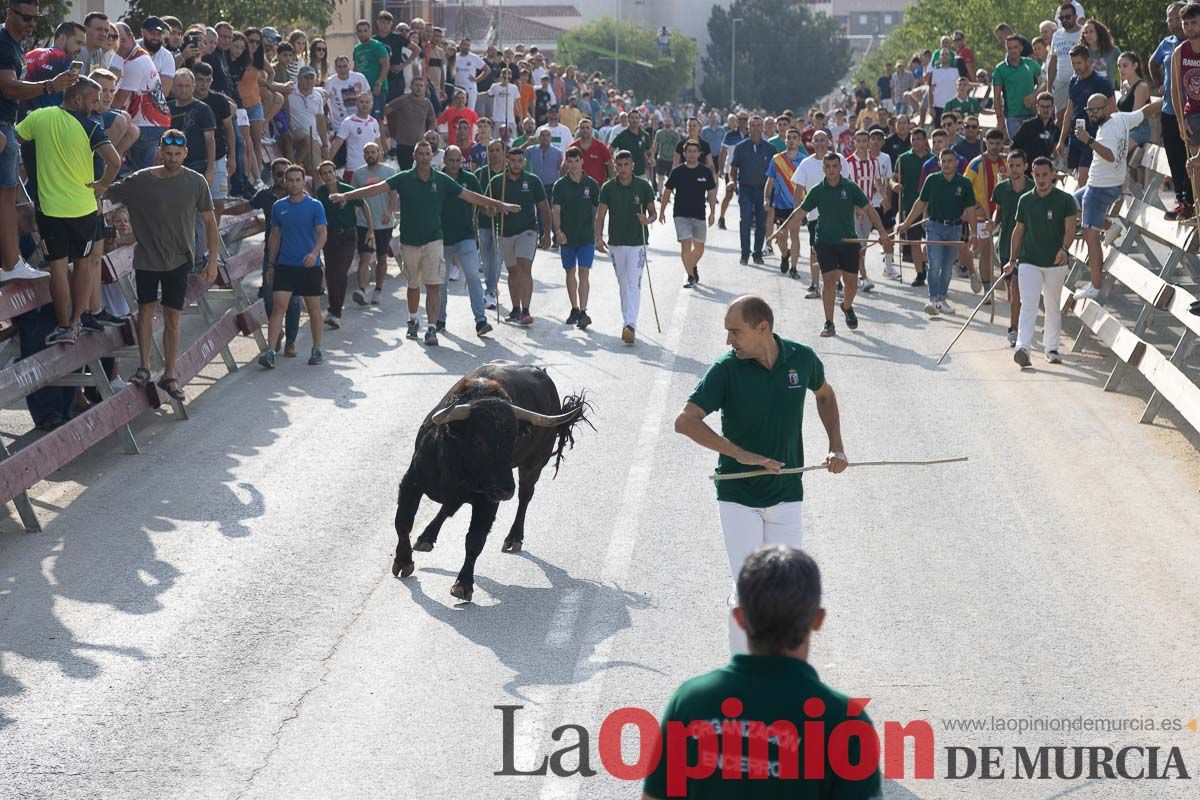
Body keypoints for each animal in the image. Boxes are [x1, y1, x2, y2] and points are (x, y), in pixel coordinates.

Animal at [393, 362, 590, 599]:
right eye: (479, 441)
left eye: (514, 439)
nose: (506, 490)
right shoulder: (411, 482)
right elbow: (403, 522)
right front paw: (403, 561)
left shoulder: (488, 501)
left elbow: (475, 540)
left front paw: (463, 584)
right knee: (449, 507)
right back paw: (426, 538)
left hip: (533, 466)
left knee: (525, 497)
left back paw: (514, 538)